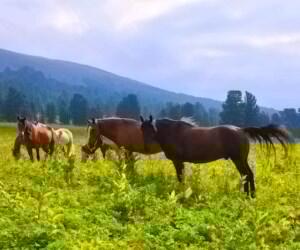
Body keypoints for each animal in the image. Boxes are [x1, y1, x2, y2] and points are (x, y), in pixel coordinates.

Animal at [141, 115, 292, 197]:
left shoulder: (178, 161)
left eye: (152, 129)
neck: (173, 132)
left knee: (247, 175)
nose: (146, 147)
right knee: (248, 175)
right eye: (142, 129)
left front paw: (181, 192)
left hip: (238, 159)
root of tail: (241, 130)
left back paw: (249, 195)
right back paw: (249, 195)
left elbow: (180, 178)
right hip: (241, 160)